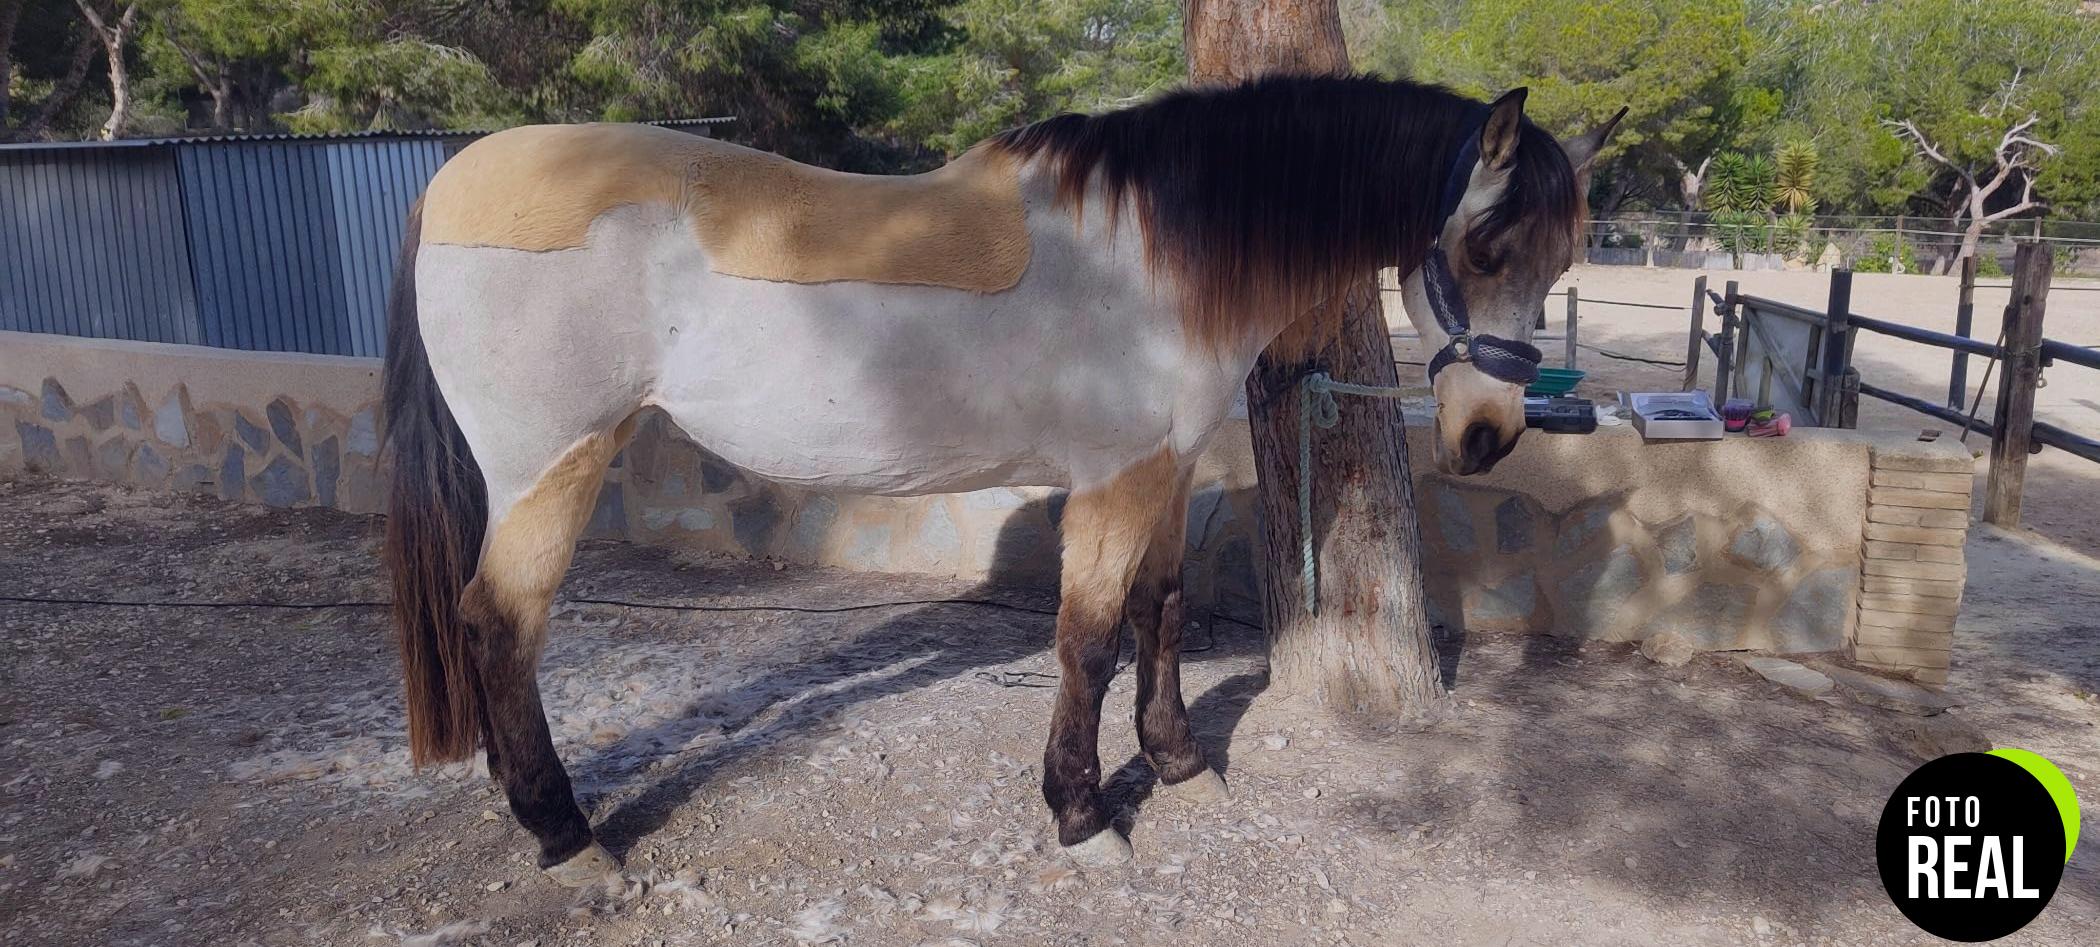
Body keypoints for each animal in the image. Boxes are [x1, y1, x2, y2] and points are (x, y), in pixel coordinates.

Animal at [382, 73, 1623, 885]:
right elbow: (1087, 638)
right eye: (1485, 248)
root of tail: (446, 185)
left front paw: (1176, 760)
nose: (1489, 435)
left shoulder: (1165, 467)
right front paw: (1082, 811)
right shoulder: (1115, 479)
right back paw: (566, 835)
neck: (1153, 254)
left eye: (1563, 258)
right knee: (499, 623)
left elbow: (1162, 608)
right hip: (554, 463)